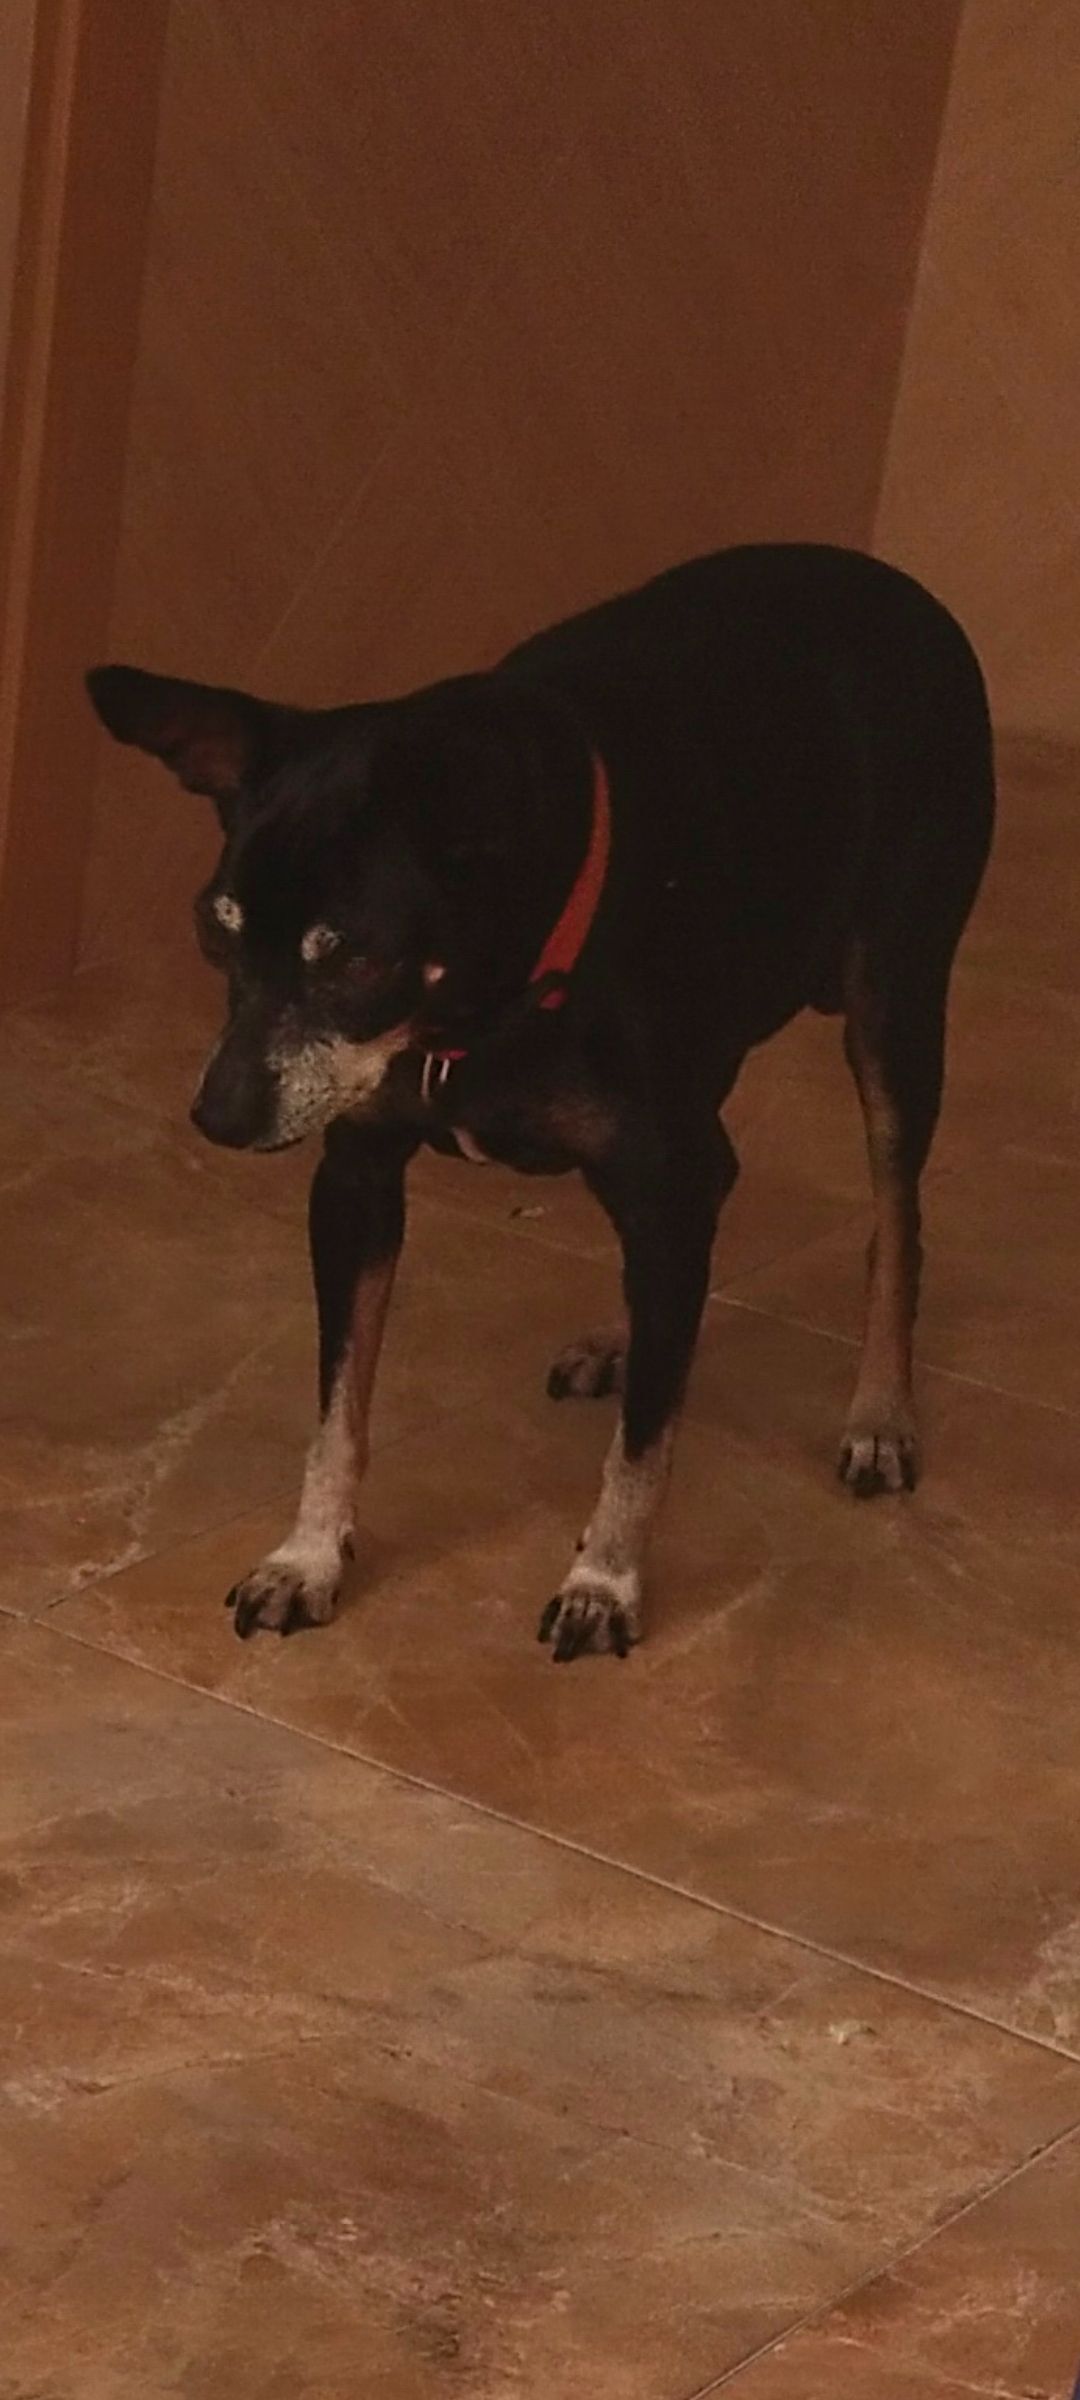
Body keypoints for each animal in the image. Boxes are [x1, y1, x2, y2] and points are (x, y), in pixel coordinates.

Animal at [88, 543, 994, 1661]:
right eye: (213, 932)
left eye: (353, 959)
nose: (217, 1117)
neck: (481, 1005)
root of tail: (895, 581)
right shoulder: (357, 1178)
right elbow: (339, 1407)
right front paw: (307, 1559)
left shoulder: (662, 1173)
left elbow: (645, 1443)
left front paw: (604, 1581)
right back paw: (625, 1337)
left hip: (894, 1005)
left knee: (895, 1223)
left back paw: (878, 1413)